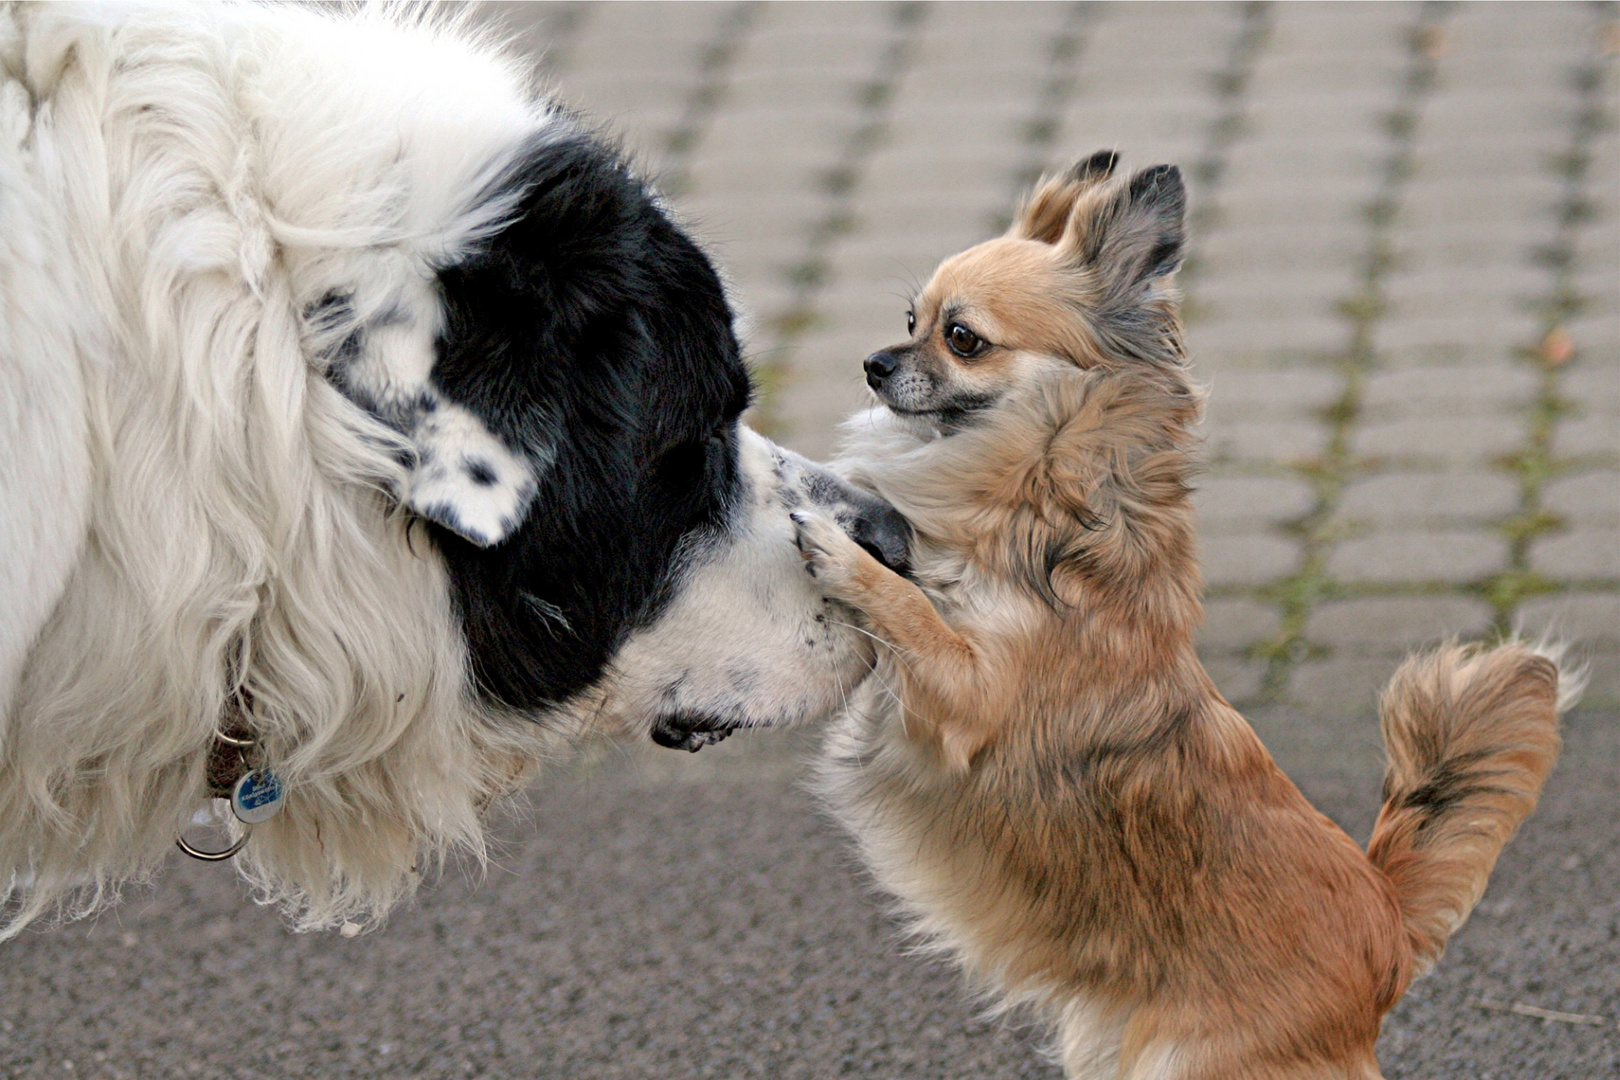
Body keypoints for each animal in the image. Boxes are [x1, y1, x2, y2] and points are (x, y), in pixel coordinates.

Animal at [790, 153, 1574, 1080]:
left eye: (963, 338)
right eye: (909, 319)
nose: (874, 362)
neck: (1036, 499)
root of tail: (1386, 925)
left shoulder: (965, 701)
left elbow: (909, 608)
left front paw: (843, 554)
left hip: (1194, 1062)